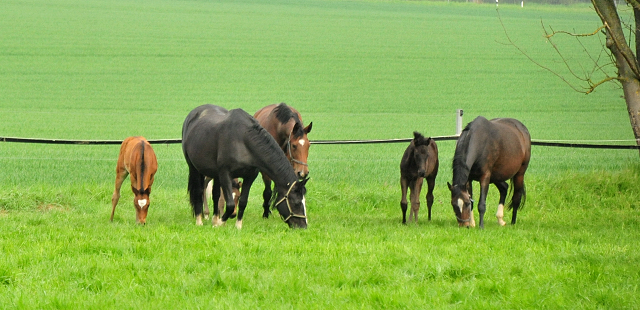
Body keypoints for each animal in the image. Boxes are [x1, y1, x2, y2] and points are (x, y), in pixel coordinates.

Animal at [182, 104, 310, 228]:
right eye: (296, 203)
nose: (303, 226)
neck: (243, 140)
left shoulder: (249, 176)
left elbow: (243, 202)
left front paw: (237, 226)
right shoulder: (225, 174)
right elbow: (230, 204)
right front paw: (221, 223)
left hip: (215, 174)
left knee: (216, 194)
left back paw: (214, 220)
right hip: (194, 168)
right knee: (199, 191)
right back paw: (200, 220)